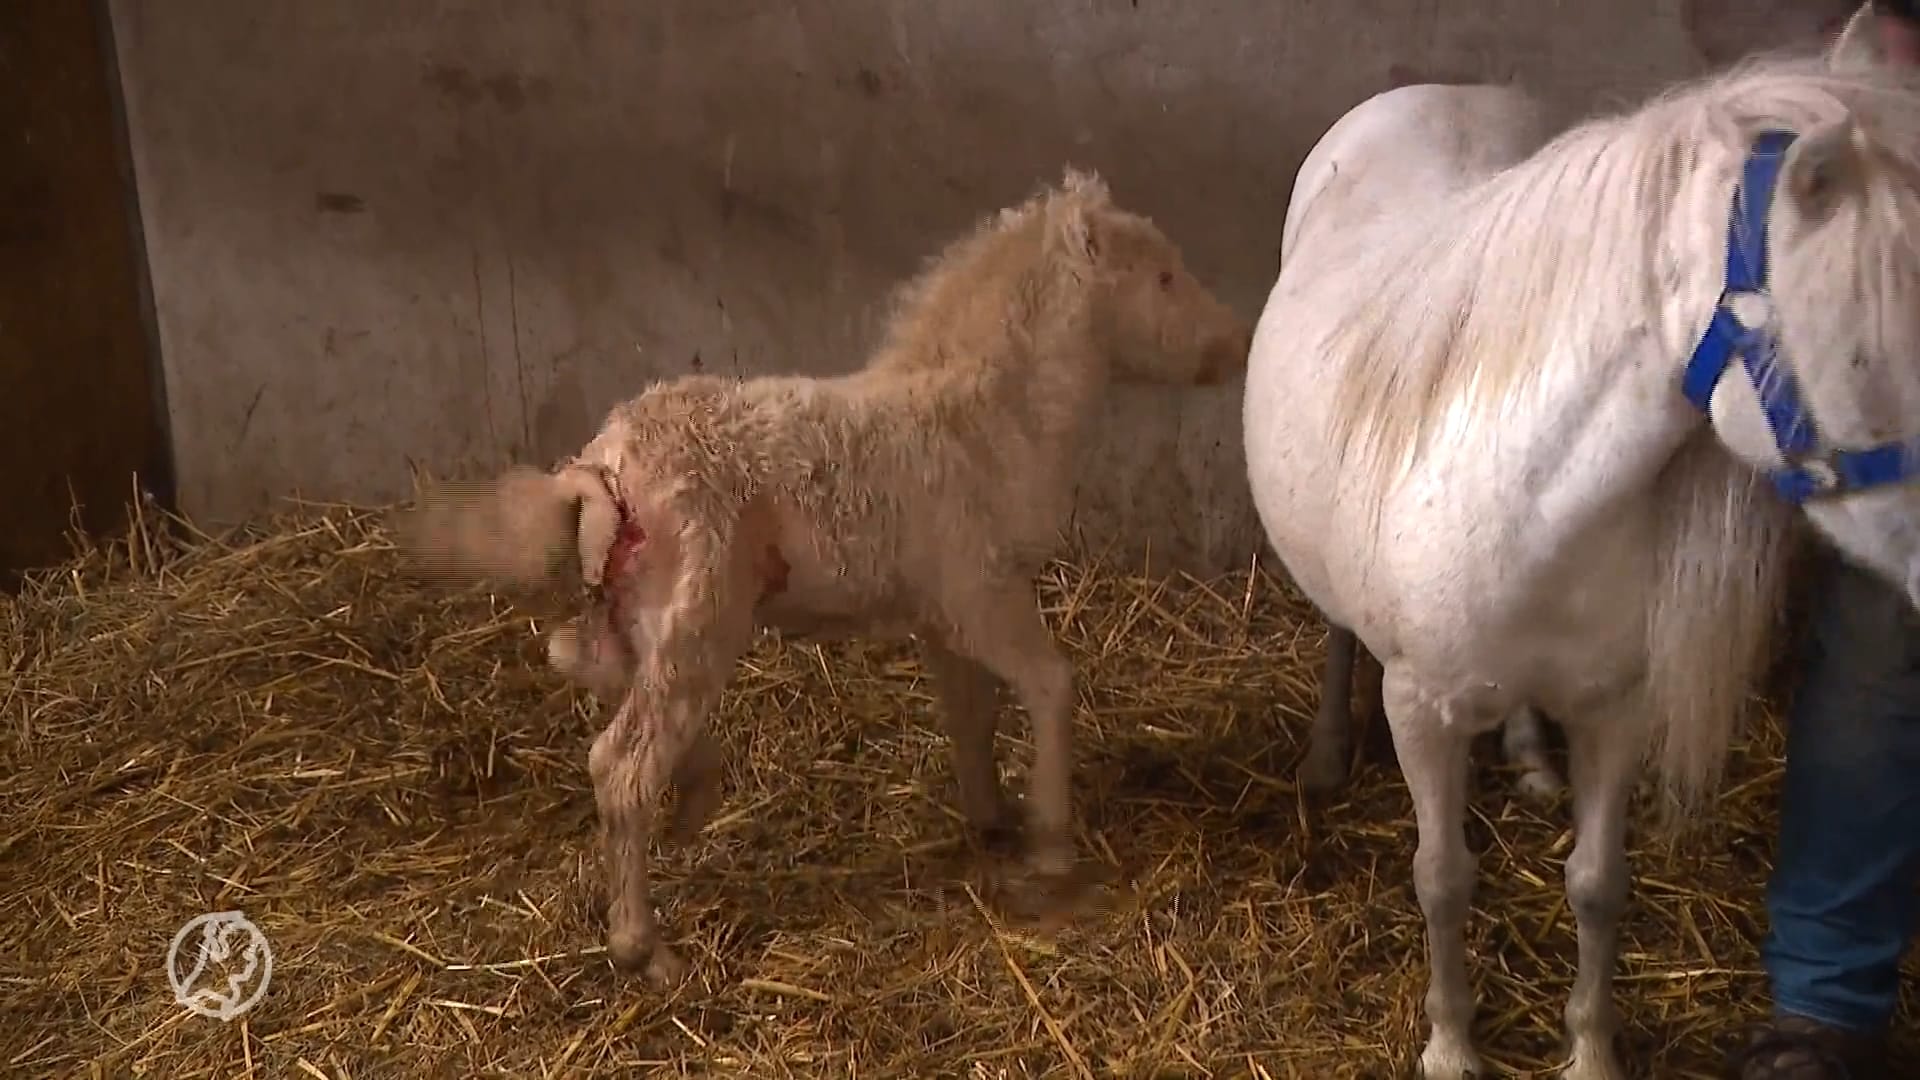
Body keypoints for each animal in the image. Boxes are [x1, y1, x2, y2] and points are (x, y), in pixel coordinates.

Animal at [1244, 10, 1920, 1076]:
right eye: (1865, 346)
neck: (1536, 504)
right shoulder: (1420, 713)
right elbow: (1442, 879)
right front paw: (1451, 1048)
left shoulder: (1617, 708)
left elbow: (1599, 885)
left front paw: (1591, 1051)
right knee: (1339, 630)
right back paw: (1324, 753)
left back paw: (1528, 759)